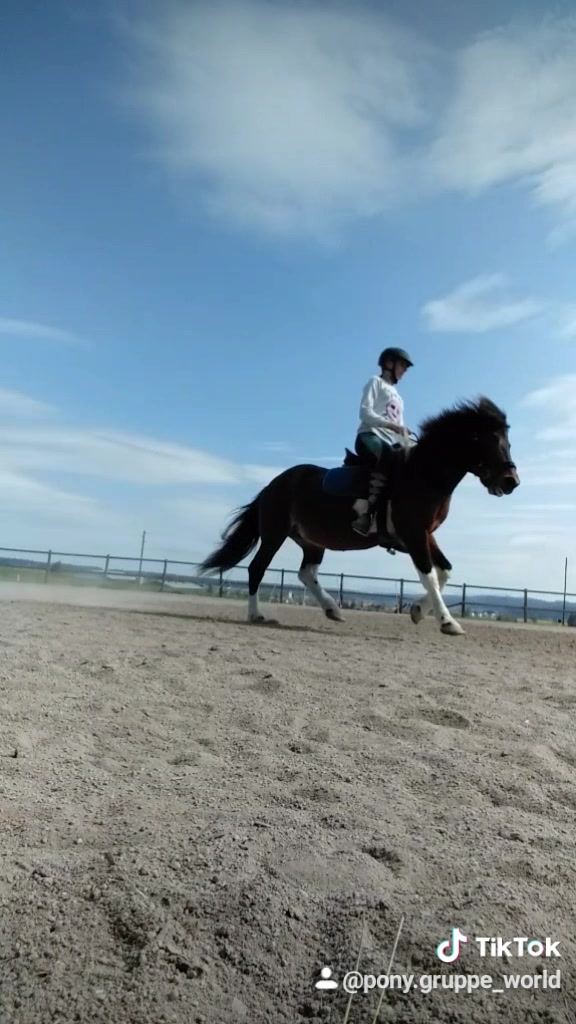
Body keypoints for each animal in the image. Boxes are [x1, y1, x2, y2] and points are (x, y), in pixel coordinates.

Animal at [198, 396, 520, 636]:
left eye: (508, 441)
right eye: (492, 440)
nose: (511, 482)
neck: (423, 474)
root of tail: (272, 485)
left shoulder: (422, 535)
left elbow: (444, 572)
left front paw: (418, 611)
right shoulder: (413, 534)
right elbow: (429, 574)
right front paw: (448, 622)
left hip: (312, 540)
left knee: (306, 573)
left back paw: (332, 609)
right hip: (274, 535)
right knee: (257, 569)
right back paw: (257, 614)